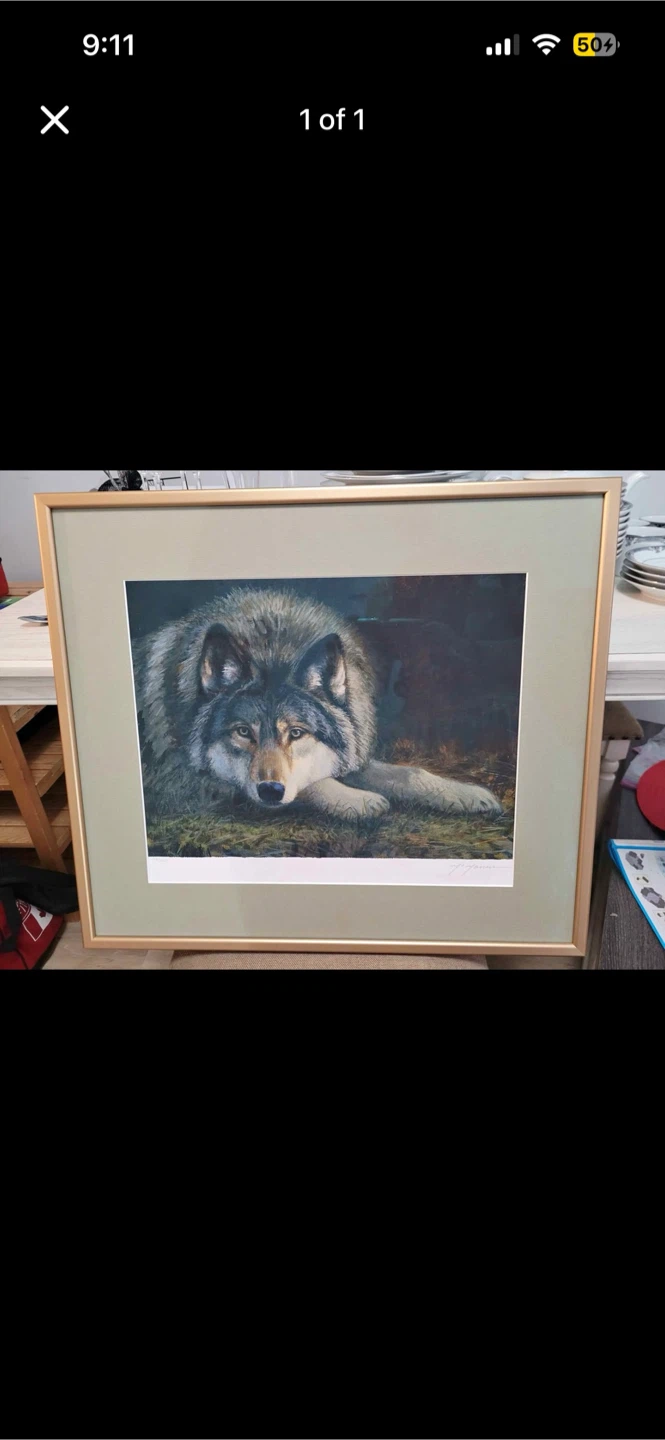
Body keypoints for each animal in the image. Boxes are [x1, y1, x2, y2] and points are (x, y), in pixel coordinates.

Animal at [132, 588, 502, 821]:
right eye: (243, 732)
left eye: (297, 733)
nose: (270, 791)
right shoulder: (184, 784)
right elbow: (310, 784)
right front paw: (358, 799)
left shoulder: (350, 753)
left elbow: (410, 773)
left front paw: (467, 794)